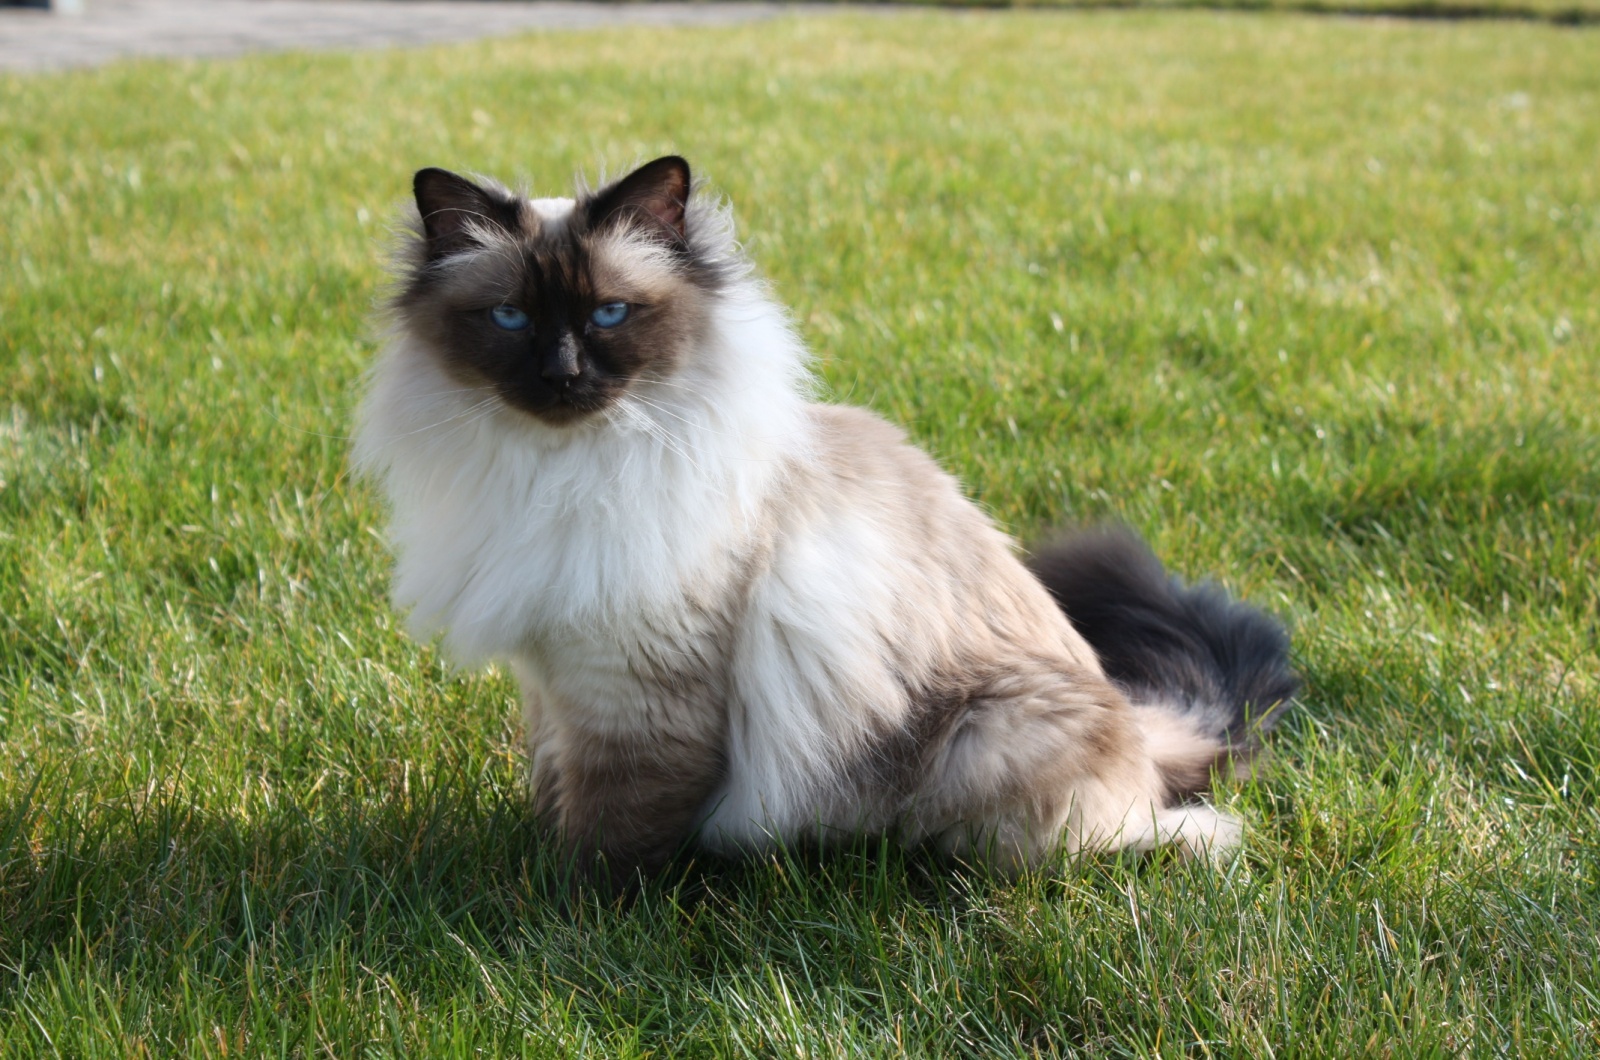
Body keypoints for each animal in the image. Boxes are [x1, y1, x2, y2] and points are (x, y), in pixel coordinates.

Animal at [356, 156, 1292, 890]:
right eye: (510, 318)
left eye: (609, 314)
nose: (561, 375)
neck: (558, 470)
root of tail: (1136, 719)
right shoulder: (556, 681)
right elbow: (554, 789)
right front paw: (528, 856)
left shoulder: (636, 693)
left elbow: (608, 839)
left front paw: (556, 916)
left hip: (990, 735)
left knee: (1163, 833)